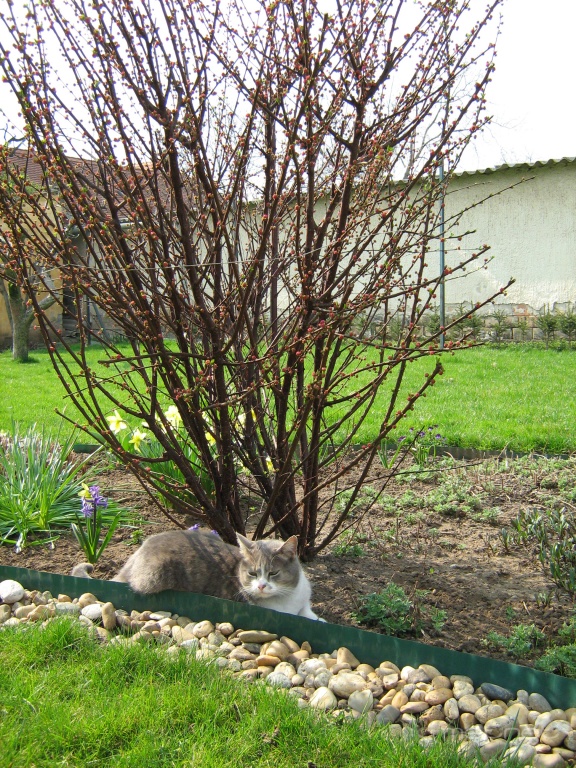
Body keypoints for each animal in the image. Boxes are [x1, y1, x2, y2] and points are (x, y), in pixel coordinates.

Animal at [71, 528, 325, 621]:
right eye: (253, 574)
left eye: (273, 573)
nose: (261, 586)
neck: (287, 599)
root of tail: (139, 551)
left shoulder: (303, 600)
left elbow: (308, 613)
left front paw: (317, 618)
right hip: (156, 574)